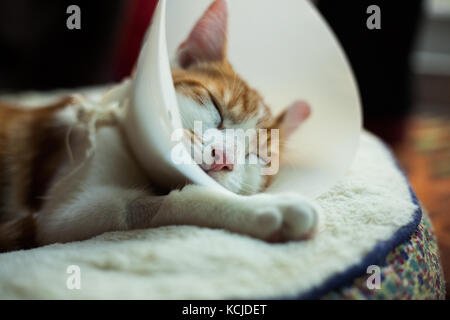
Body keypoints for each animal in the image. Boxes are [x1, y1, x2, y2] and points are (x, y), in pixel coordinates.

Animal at [0, 0, 318, 252]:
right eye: (216, 108)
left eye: (257, 156)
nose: (224, 157)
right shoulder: (64, 213)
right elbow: (164, 201)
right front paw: (267, 208)